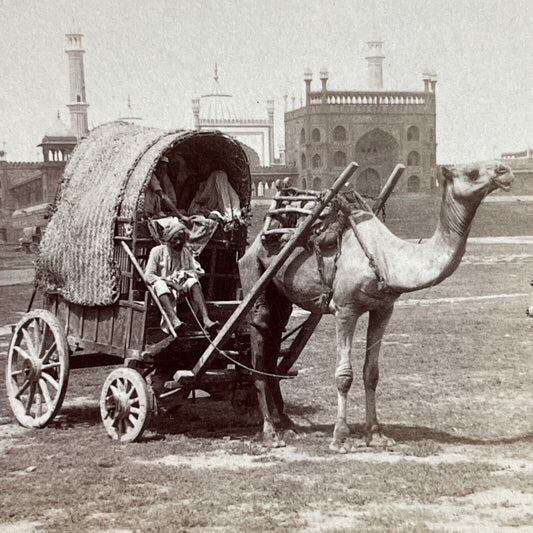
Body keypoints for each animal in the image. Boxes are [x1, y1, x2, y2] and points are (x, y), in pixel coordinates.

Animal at [239, 160, 512, 450]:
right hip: (252, 270)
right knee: (259, 336)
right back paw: (270, 432)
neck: (387, 259)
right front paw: (340, 436)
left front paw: (376, 433)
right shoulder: (345, 308)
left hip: (281, 294)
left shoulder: (383, 309)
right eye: (472, 172)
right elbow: (344, 375)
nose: (505, 171)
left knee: (274, 340)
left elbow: (371, 373)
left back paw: (286, 423)